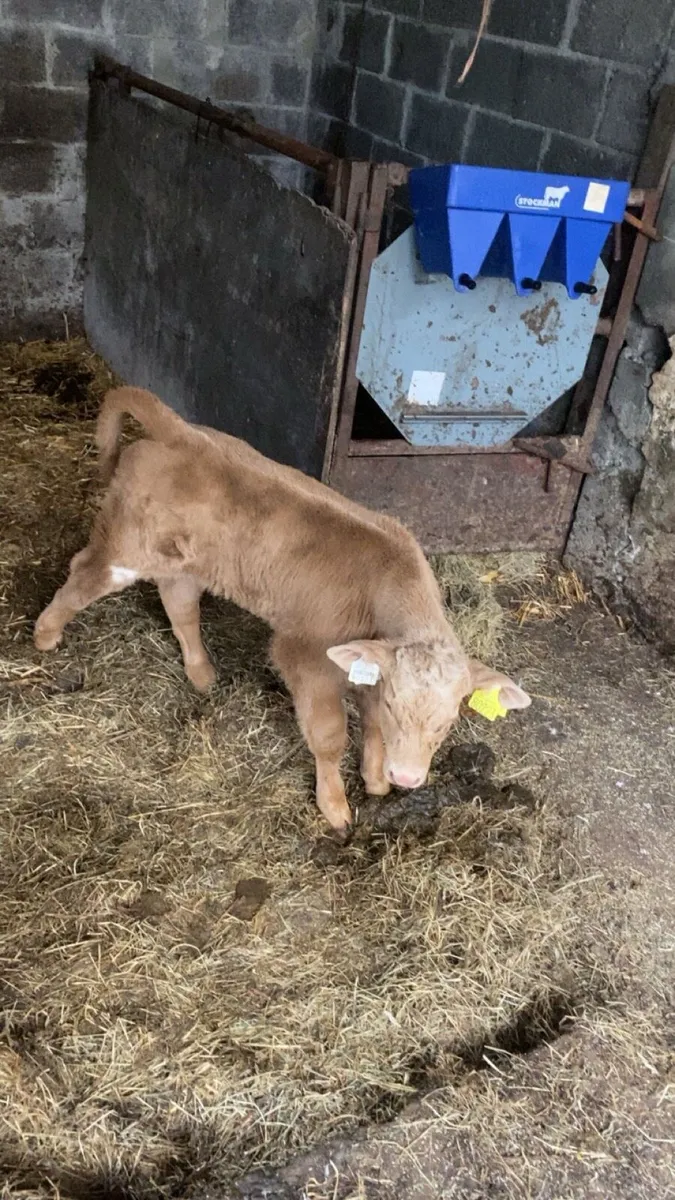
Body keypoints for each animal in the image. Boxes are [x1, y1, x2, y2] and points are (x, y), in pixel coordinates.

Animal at [34, 388, 531, 833]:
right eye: (396, 703)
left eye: (447, 724)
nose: (408, 777)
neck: (386, 585)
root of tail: (183, 433)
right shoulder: (306, 656)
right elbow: (330, 737)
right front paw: (335, 807)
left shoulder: (369, 668)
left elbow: (371, 730)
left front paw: (375, 781)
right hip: (126, 546)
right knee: (84, 575)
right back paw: (45, 633)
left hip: (188, 562)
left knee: (180, 604)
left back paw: (202, 673)